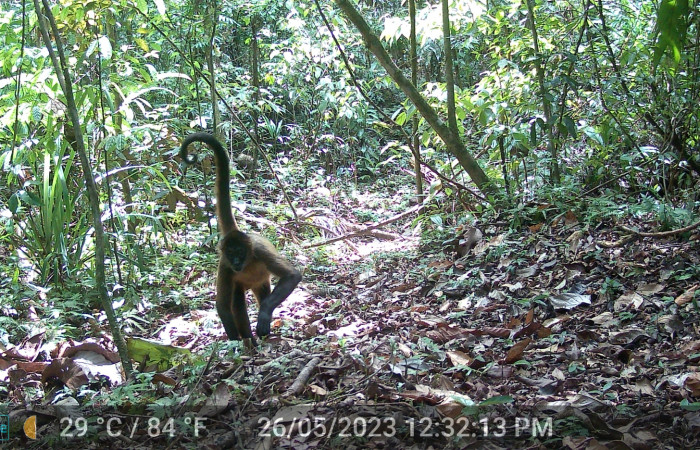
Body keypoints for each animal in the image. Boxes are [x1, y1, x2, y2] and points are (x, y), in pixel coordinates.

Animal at [180, 132, 302, 341]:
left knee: (261, 294)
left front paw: (263, 315)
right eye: (231, 254)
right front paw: (236, 342)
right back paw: (248, 338)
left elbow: (292, 276)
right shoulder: (225, 264)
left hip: (261, 282)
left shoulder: (259, 251)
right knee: (236, 301)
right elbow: (222, 306)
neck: (247, 261)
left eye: (240, 252)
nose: (236, 262)